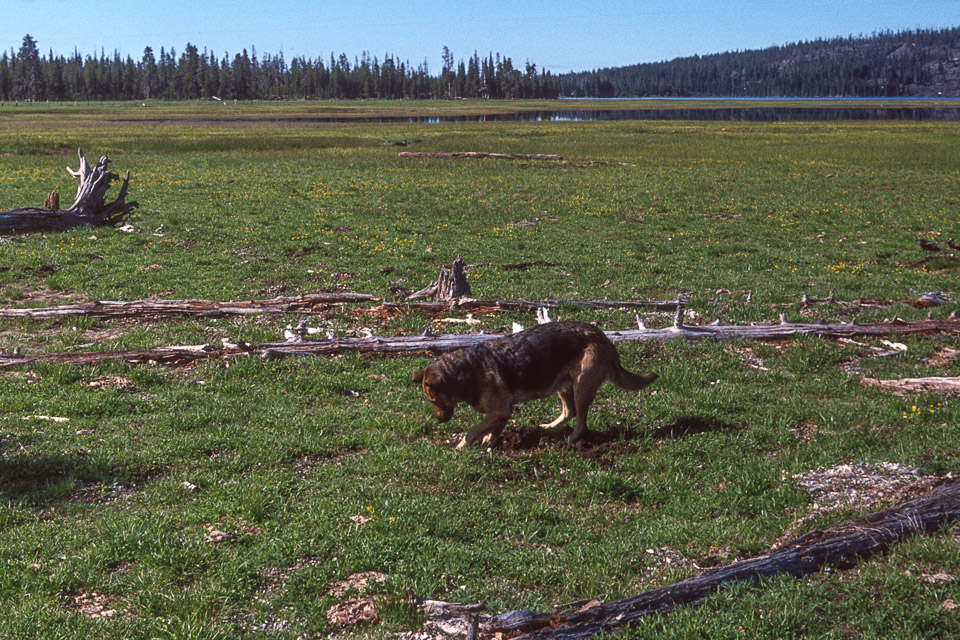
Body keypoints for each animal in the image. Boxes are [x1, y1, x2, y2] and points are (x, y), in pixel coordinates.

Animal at [408, 320, 656, 450]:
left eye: (434, 399)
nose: (438, 421)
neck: (467, 370)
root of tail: (601, 334)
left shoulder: (499, 410)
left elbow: (472, 431)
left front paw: (461, 447)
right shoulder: (502, 412)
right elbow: (491, 430)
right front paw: (489, 443)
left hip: (581, 387)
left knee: (581, 421)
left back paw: (571, 440)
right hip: (563, 386)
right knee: (569, 411)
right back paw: (548, 428)